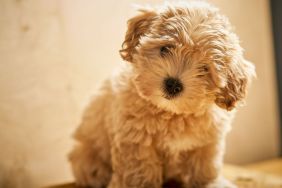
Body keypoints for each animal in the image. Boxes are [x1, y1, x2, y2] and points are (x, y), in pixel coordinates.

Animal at [69, 1, 256, 188]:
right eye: (165, 49)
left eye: (204, 69)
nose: (173, 84)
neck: (171, 113)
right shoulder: (135, 141)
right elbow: (139, 171)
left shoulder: (206, 141)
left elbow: (205, 166)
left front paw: (211, 183)